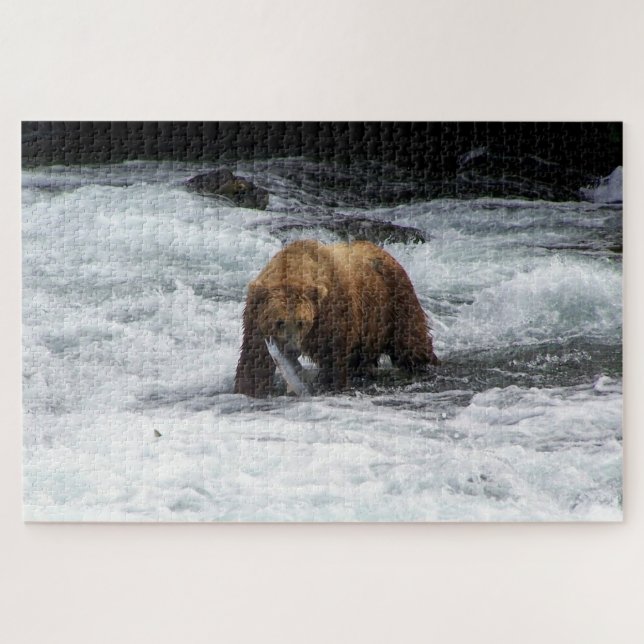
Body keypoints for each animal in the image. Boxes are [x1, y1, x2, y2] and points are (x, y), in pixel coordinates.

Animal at [234, 239, 439, 397]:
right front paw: (248, 389)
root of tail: (385, 252)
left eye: (301, 322)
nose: (292, 349)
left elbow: (333, 360)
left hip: (395, 302)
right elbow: (254, 361)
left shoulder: (332, 315)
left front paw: (328, 386)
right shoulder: (255, 317)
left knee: (411, 344)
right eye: (279, 322)